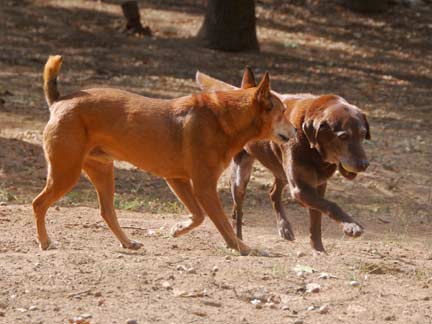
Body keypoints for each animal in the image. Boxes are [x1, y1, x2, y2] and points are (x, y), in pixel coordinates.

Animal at [33, 57, 296, 256]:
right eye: (283, 111)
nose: (295, 130)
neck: (225, 118)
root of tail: (59, 101)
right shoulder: (204, 187)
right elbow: (222, 224)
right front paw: (242, 248)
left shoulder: (178, 180)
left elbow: (198, 216)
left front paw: (178, 228)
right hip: (66, 174)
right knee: (39, 203)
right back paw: (45, 242)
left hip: (102, 172)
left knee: (107, 212)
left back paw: (128, 243)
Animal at [197, 70, 370, 253]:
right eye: (343, 136)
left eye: (362, 134)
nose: (364, 164)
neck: (314, 149)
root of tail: (245, 89)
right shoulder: (301, 189)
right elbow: (331, 205)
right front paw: (351, 226)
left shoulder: (318, 185)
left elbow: (317, 218)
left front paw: (318, 248)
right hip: (241, 177)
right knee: (238, 209)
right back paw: (238, 240)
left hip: (280, 170)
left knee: (273, 192)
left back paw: (284, 227)